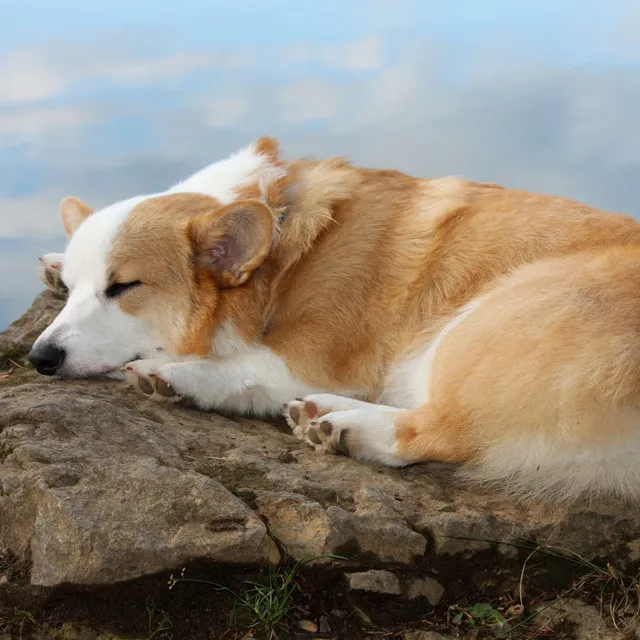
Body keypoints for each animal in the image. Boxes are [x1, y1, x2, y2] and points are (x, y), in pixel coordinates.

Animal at [30, 138, 640, 502]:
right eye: (76, 290)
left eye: (123, 288)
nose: (39, 359)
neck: (279, 243)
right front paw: (54, 263)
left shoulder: (307, 359)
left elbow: (235, 368)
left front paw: (172, 374)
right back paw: (322, 414)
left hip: (479, 324)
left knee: (440, 428)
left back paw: (348, 428)